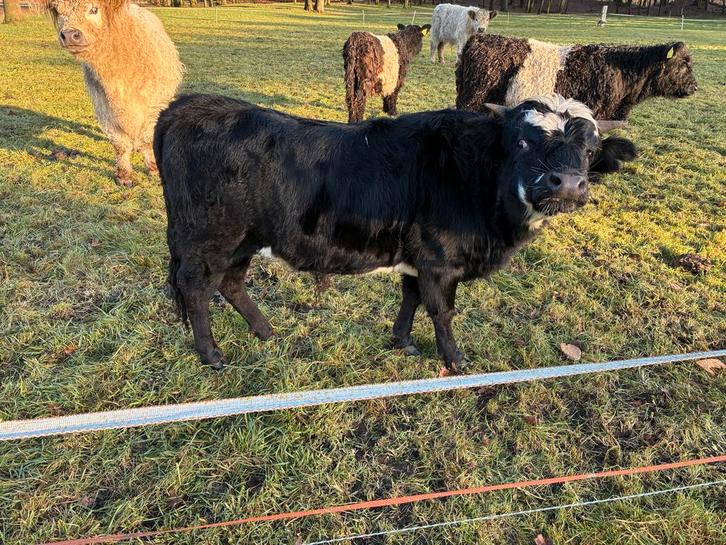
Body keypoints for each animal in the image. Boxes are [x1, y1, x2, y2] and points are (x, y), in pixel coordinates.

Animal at [47, 0, 183, 186]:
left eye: (94, 9)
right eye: (58, 10)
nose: (69, 35)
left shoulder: (153, 105)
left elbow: (147, 139)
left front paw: (154, 168)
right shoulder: (104, 106)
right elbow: (120, 144)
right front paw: (124, 176)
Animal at [154, 93, 637, 371]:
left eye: (590, 149)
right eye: (522, 141)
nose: (568, 185)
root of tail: (190, 105)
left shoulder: (418, 256)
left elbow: (411, 297)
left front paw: (401, 341)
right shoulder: (441, 259)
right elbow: (440, 309)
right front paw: (454, 359)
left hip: (244, 240)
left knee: (231, 284)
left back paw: (266, 332)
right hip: (208, 239)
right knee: (197, 288)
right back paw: (212, 354)